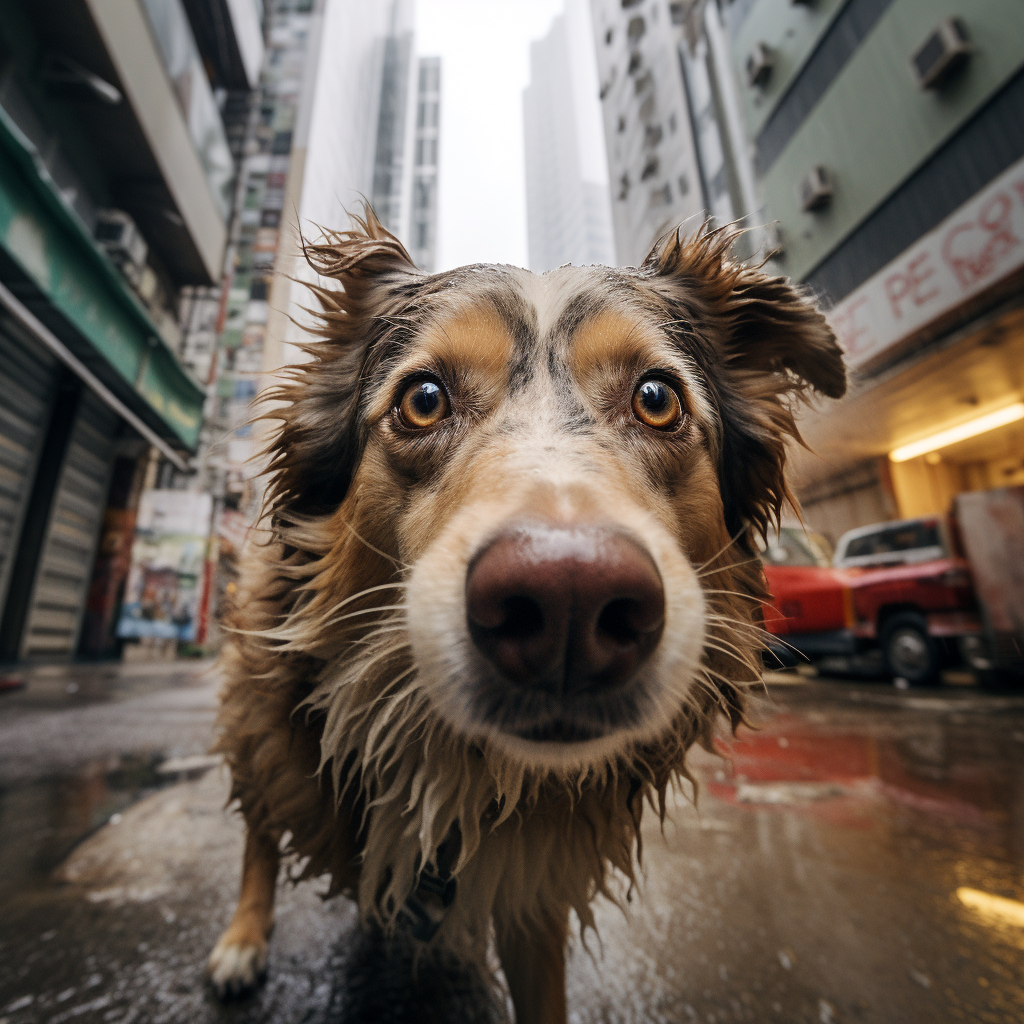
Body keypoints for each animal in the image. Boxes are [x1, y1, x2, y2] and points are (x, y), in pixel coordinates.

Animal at [203, 205, 843, 1015]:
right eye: (423, 399)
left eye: (657, 398)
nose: (568, 600)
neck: (461, 770)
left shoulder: (530, 886)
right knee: (258, 823)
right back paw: (242, 938)